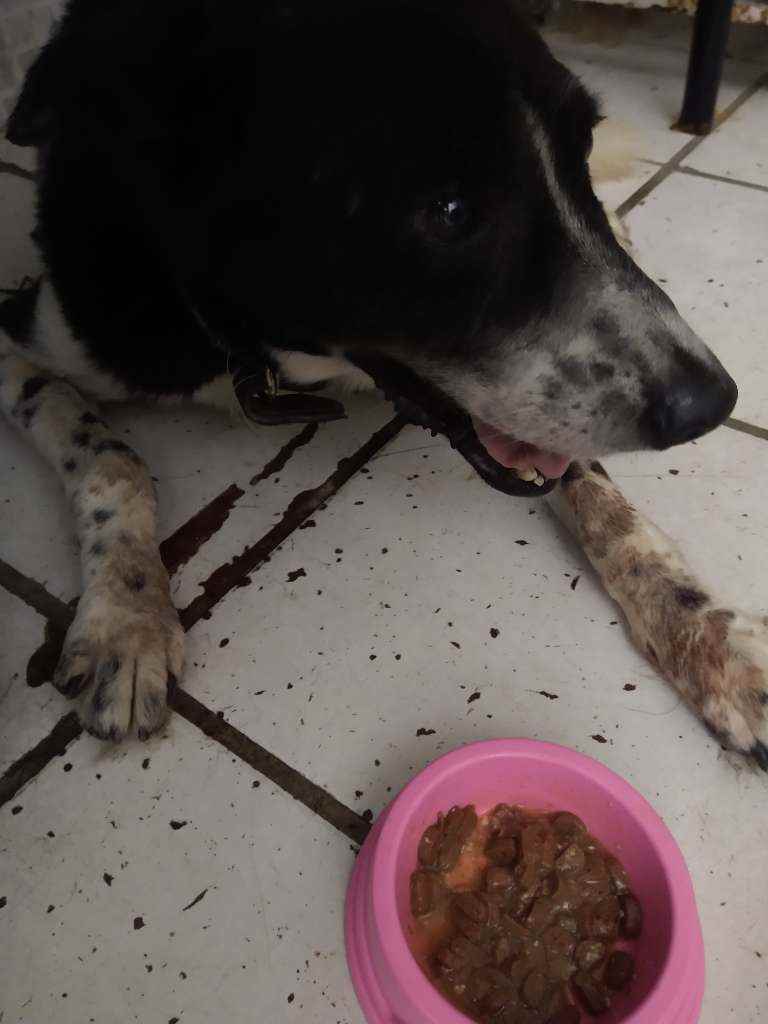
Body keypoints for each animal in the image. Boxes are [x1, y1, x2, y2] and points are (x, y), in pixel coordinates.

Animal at [3, 0, 766, 766]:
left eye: (574, 157)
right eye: (450, 211)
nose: (711, 404)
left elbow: (603, 500)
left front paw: (709, 636)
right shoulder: (22, 336)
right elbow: (112, 457)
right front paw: (127, 615)